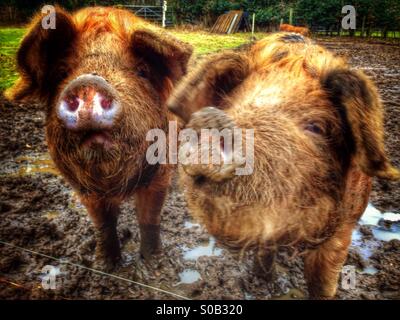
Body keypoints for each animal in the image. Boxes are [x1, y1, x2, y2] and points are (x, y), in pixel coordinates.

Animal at [5, 6, 193, 268]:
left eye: (142, 71)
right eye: (63, 72)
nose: (88, 83)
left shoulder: (159, 173)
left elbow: (149, 217)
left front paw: (156, 266)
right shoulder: (84, 189)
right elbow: (103, 222)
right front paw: (103, 265)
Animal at [167, 32, 398, 298]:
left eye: (316, 126)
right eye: (232, 105)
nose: (212, 119)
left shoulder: (344, 228)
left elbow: (322, 279)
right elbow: (265, 251)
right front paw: (263, 283)